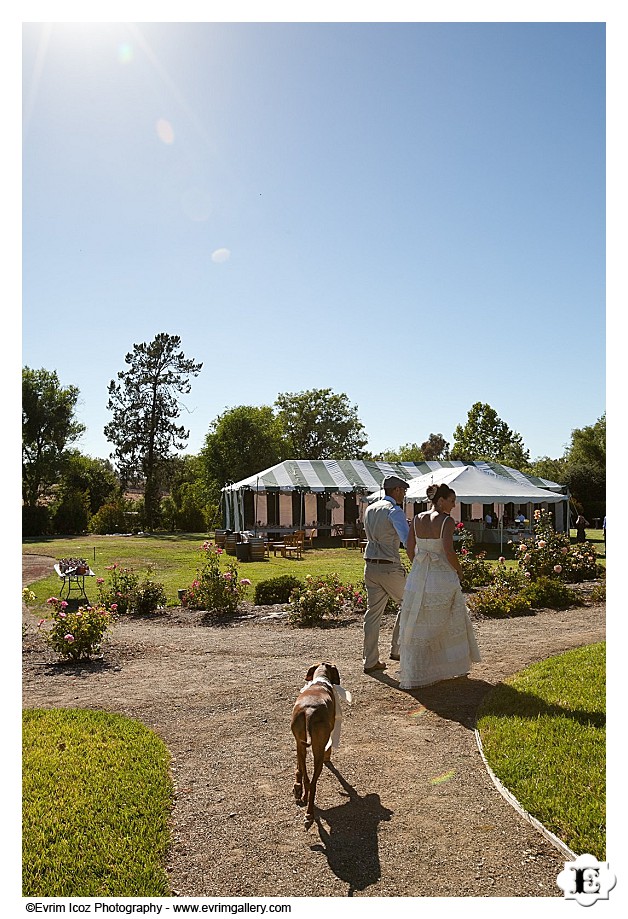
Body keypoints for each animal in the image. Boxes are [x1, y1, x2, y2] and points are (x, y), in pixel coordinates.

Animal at [290, 660, 344, 828]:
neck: (320, 681)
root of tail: (309, 712)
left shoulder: (298, 743)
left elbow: (299, 768)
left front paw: (297, 788)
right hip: (318, 750)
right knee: (313, 783)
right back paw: (309, 814)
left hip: (302, 744)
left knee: (307, 779)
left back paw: (302, 796)